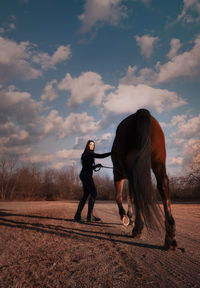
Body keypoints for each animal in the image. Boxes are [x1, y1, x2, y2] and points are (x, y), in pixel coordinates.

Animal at [111, 108, 177, 250]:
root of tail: (140, 112)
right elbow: (130, 196)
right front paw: (129, 217)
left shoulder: (118, 174)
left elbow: (120, 196)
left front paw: (125, 216)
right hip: (158, 163)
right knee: (163, 186)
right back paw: (170, 237)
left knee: (138, 193)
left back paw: (138, 228)